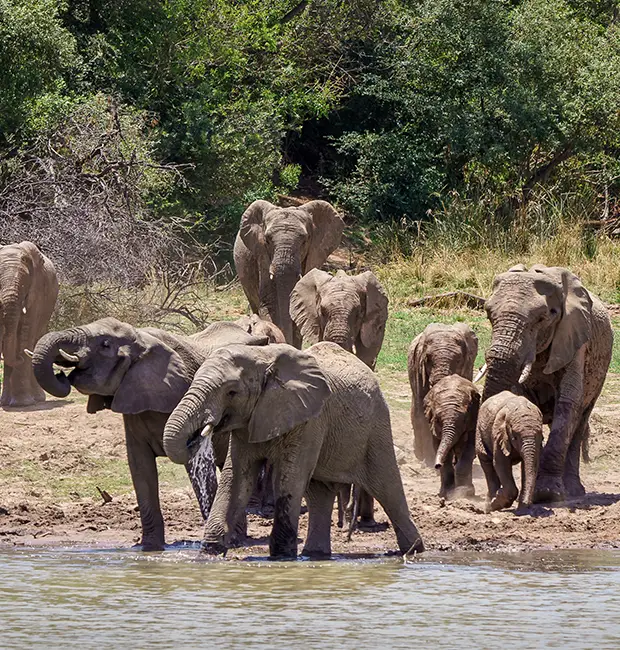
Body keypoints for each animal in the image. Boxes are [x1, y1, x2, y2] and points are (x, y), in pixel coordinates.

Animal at [0, 241, 58, 407]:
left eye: (25, 283)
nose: (19, 357)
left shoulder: (36, 291)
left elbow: (25, 334)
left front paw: (22, 403)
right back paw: (5, 402)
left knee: (34, 338)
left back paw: (36, 399)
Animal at [163, 342, 425, 559]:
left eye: (232, 392)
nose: (197, 435)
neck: (260, 355)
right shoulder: (249, 421)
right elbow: (236, 479)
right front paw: (209, 554)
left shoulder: (310, 419)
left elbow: (289, 479)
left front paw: (281, 558)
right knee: (319, 493)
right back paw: (315, 555)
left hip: (376, 426)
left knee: (387, 487)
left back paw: (414, 551)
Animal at [408, 323, 478, 467]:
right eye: (428, 358)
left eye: (458, 360)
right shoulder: (418, 367)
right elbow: (422, 410)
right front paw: (429, 460)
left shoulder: (468, 368)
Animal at [481, 264, 613, 502]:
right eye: (488, 314)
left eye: (542, 318)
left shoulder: (575, 338)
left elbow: (569, 400)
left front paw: (547, 494)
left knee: (580, 422)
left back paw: (574, 491)